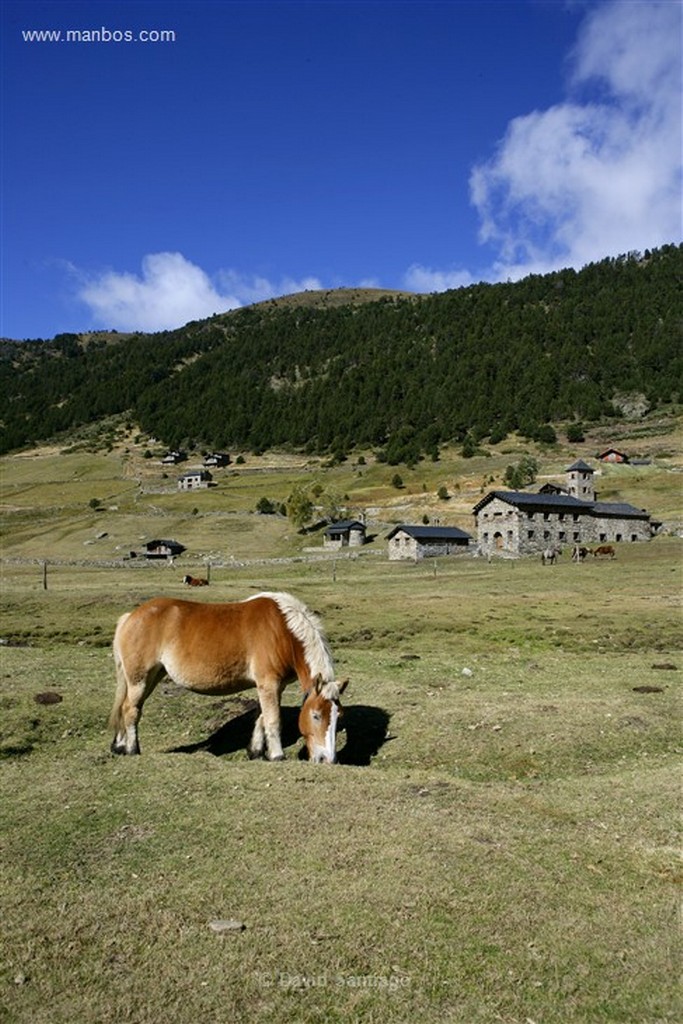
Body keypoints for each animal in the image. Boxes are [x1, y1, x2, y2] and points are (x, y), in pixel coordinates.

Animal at [111, 589, 350, 765]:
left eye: (339, 715)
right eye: (316, 715)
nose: (328, 759)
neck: (284, 631)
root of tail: (130, 617)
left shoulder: (273, 687)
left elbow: (261, 717)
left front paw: (255, 752)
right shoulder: (268, 684)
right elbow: (273, 720)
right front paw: (277, 755)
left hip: (152, 677)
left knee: (127, 708)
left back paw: (120, 746)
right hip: (139, 680)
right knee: (130, 710)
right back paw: (132, 749)